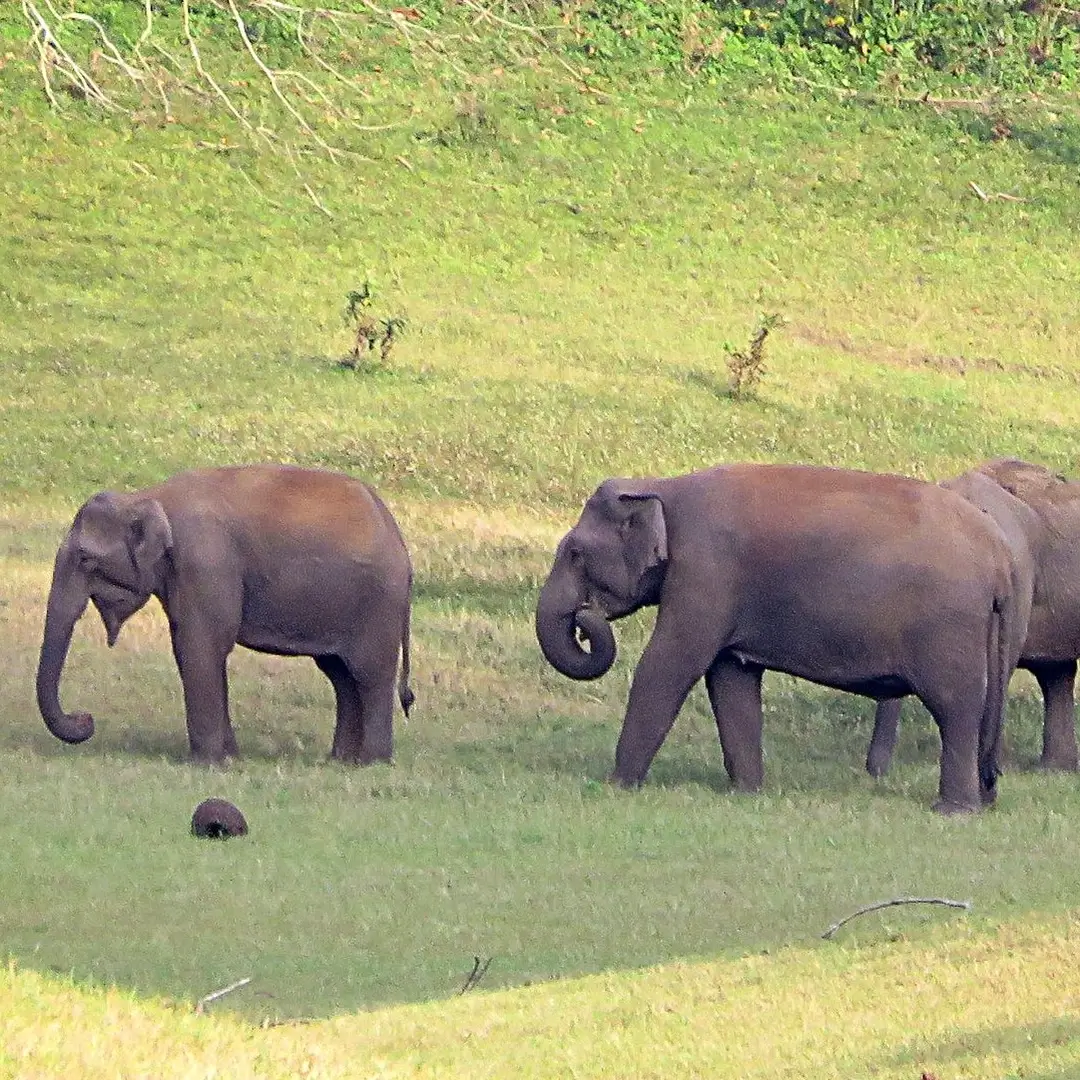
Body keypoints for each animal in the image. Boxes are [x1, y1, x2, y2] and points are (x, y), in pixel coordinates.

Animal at [34, 466, 412, 768]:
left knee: (370, 676)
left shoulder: (206, 562)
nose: (85, 718)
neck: (146, 497)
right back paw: (341, 762)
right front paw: (229, 758)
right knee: (341, 677)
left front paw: (207, 764)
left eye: (85, 558)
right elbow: (192, 650)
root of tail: (400, 540)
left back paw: (371, 763)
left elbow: (200, 647)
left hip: (379, 605)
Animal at [535, 460, 1023, 812]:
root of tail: (1000, 555)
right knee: (982, 710)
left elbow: (670, 664)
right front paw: (747, 793)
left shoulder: (705, 571)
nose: (585, 616)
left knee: (956, 707)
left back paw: (953, 810)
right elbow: (730, 679)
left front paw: (616, 785)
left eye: (574, 553)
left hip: (950, 627)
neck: (661, 485)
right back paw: (985, 800)